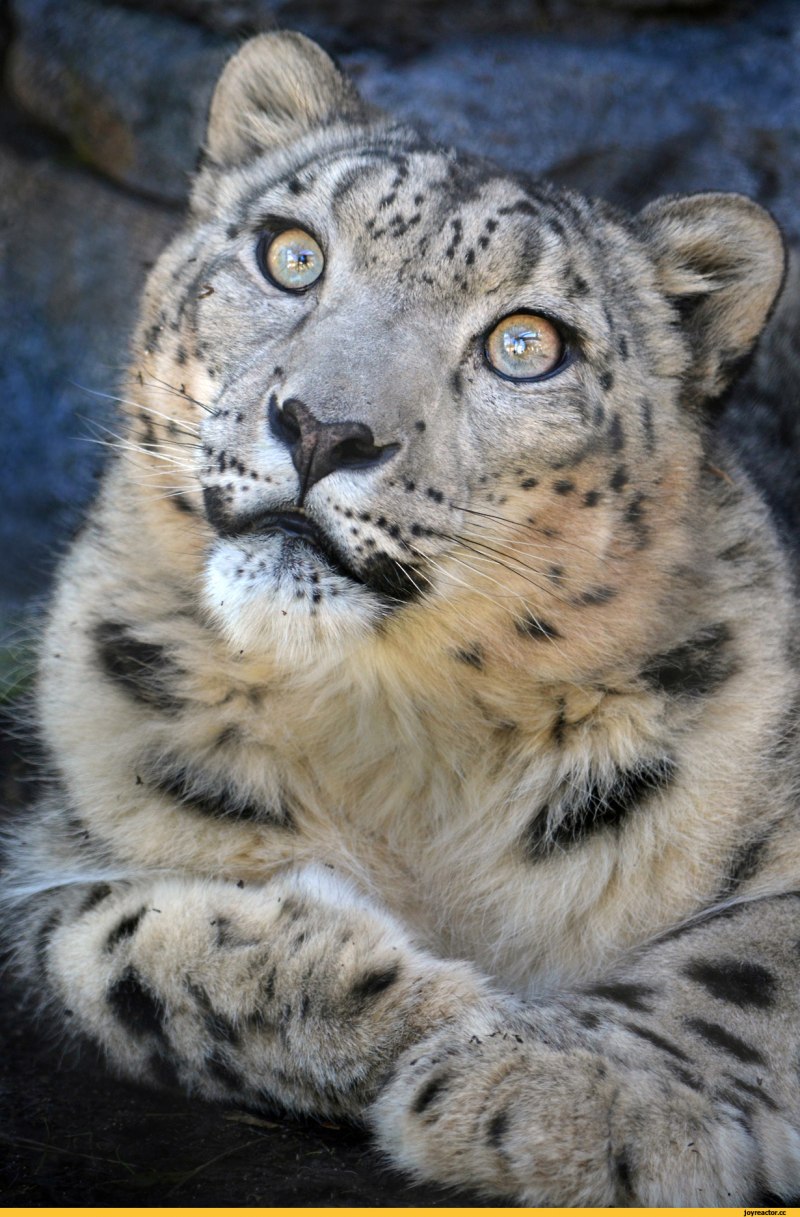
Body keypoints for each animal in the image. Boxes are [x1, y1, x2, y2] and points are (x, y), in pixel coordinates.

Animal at [3, 29, 800, 1206]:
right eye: (291, 255)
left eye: (526, 344)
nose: (322, 427)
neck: (401, 727)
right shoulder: (55, 844)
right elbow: (105, 944)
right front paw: (412, 1002)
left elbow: (750, 959)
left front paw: (563, 1094)